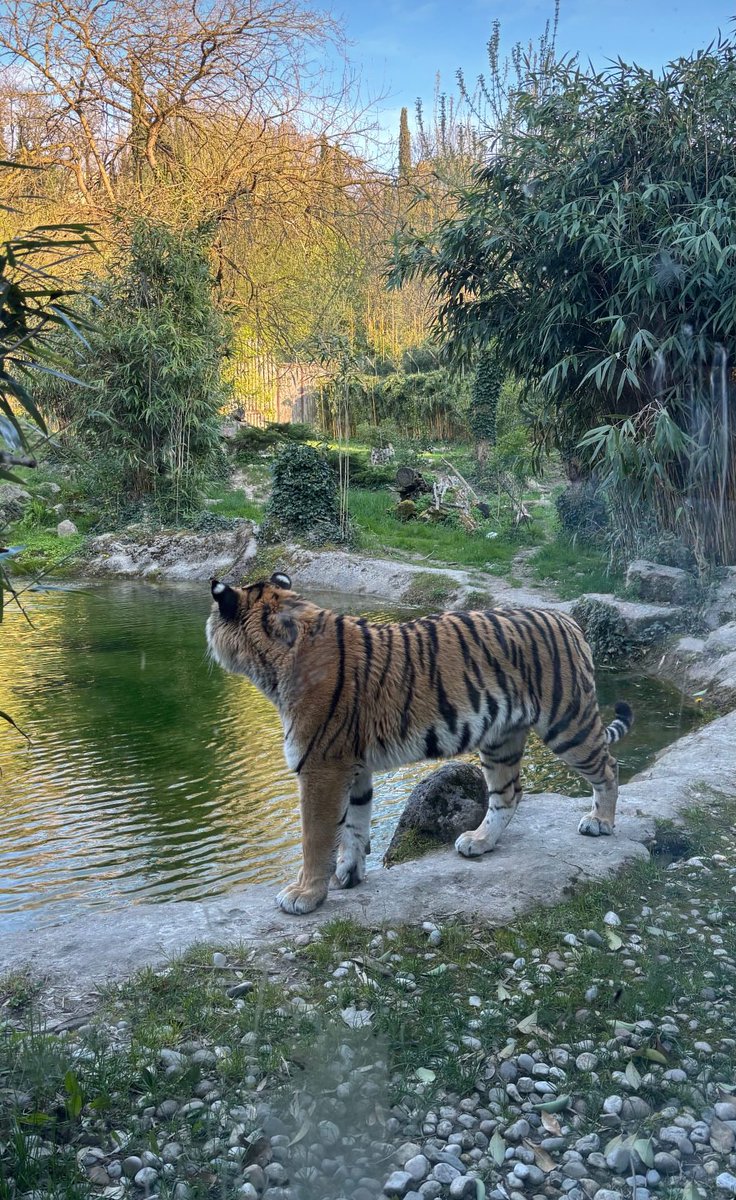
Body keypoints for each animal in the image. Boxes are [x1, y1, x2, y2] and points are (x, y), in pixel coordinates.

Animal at [206, 573, 634, 915]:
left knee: (609, 767)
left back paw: (600, 823)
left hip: (567, 722)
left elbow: (316, 837)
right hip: (500, 739)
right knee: (508, 794)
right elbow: (355, 826)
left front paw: (304, 895)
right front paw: (348, 875)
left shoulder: (320, 767)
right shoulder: (353, 766)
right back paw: (479, 842)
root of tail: (566, 619)